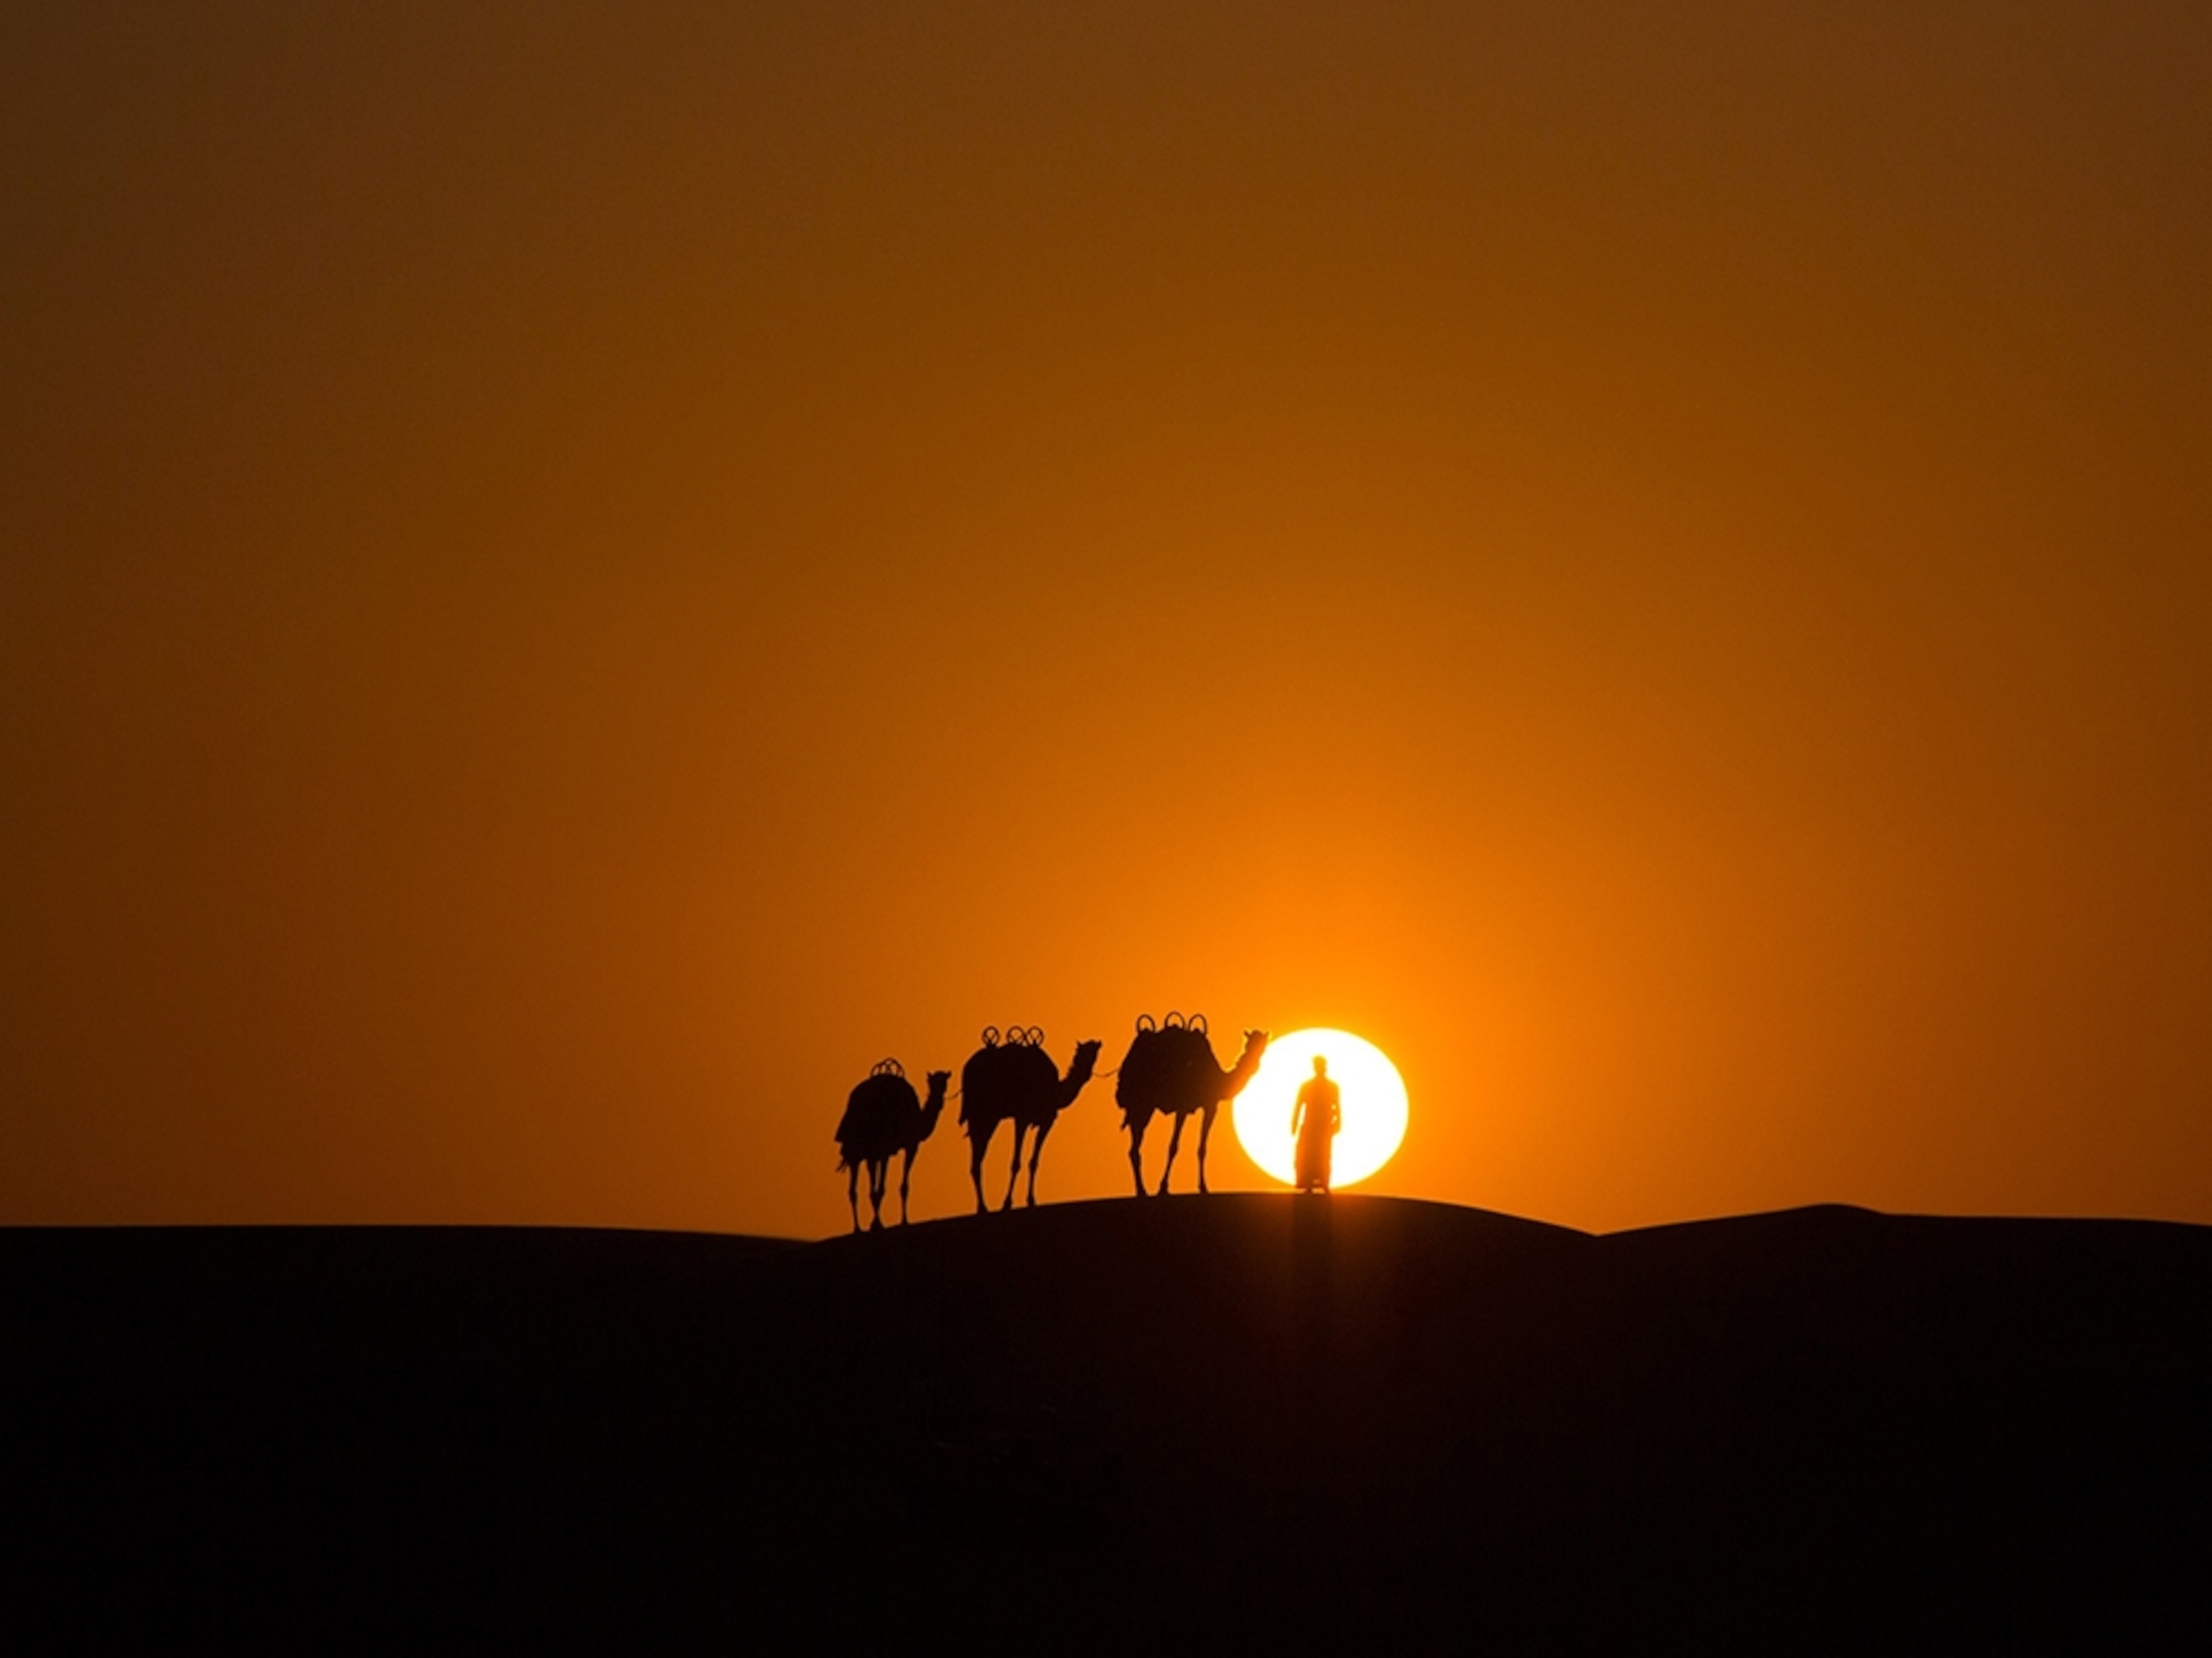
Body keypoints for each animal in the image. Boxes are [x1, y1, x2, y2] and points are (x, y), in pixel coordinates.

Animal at [832, 1062, 950, 1230]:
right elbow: (892, 1188)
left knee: (854, 1190)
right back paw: (867, 1225)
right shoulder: (905, 1146)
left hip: (860, 1152)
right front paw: (890, 1223)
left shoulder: (895, 1149)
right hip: (872, 1148)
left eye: (945, 1082)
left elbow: (891, 1187)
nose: (939, 1097)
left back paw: (858, 1228)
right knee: (866, 1188)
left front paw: (891, 1222)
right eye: (931, 1082)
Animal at [964, 1027, 1106, 1213]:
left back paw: (982, 1207)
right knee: (978, 1157)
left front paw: (1031, 1200)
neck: (1053, 1091)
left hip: (987, 1117)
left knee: (978, 1158)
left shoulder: (1047, 1122)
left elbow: (1034, 1161)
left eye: (1095, 1052)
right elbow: (1016, 1162)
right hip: (982, 1114)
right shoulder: (1022, 1118)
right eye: (1079, 1053)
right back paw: (983, 1207)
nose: (1086, 1065)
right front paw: (1007, 1203)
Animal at [1115, 1013, 1274, 1195]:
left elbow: (1202, 1148)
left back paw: (1141, 1190)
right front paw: (1163, 1188)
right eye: (1248, 1044)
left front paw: (1203, 1187)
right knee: (1135, 1147)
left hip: (1141, 1108)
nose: (1257, 1056)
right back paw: (1142, 1191)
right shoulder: (1183, 1108)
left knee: (1134, 1147)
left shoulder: (1210, 1106)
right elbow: (1174, 1146)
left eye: (1262, 1045)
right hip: (1142, 1105)